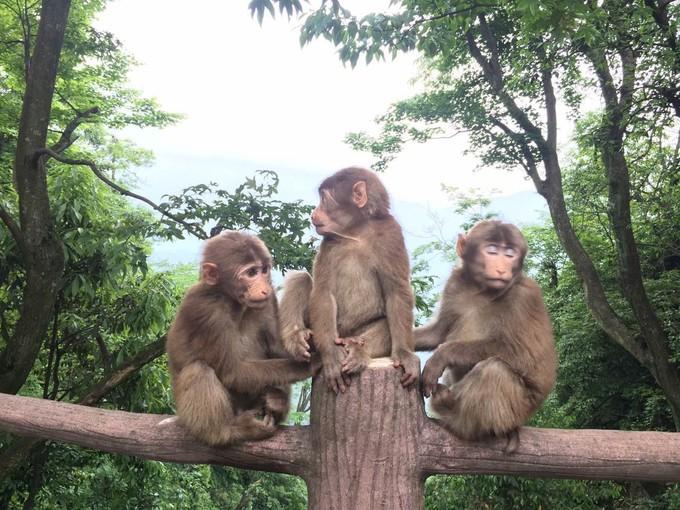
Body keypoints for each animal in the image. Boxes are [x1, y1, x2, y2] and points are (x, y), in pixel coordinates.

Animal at [166, 229, 314, 444]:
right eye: (251, 273)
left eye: (264, 270)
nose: (264, 287)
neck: (232, 301)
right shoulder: (205, 310)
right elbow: (232, 371)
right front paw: (313, 364)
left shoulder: (267, 300)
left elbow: (278, 349)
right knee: (198, 370)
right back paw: (229, 430)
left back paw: (277, 402)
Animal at [278, 167, 420, 394]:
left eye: (324, 200)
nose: (313, 213)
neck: (357, 232)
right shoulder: (328, 241)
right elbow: (323, 292)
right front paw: (331, 356)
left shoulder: (391, 235)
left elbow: (396, 292)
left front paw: (405, 354)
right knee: (302, 278)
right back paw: (298, 338)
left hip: (354, 332)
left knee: (385, 323)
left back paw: (357, 351)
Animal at [418, 221, 556, 452]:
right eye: (492, 250)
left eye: (510, 253)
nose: (501, 268)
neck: (481, 290)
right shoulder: (455, 284)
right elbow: (437, 333)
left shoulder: (525, 297)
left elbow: (523, 355)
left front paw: (441, 356)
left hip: (520, 407)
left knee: (494, 371)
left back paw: (452, 412)